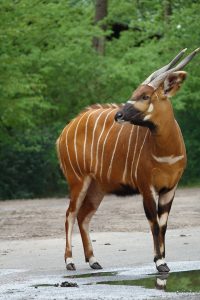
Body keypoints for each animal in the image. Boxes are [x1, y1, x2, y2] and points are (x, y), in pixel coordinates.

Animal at [57, 48, 199, 274]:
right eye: (135, 93)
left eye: (145, 95)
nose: (119, 115)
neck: (166, 153)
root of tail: (65, 131)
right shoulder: (146, 187)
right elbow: (154, 223)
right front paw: (159, 262)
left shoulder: (170, 188)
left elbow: (163, 224)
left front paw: (164, 261)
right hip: (78, 180)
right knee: (70, 214)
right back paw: (70, 261)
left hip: (97, 187)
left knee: (83, 216)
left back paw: (94, 260)